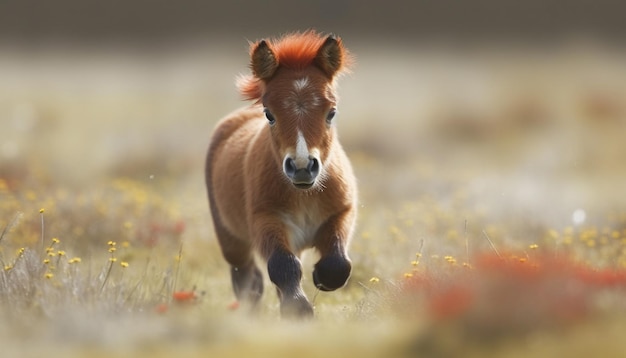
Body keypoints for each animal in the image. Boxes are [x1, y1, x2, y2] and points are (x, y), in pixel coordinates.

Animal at [206, 29, 356, 318]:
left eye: (331, 112)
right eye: (270, 114)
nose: (302, 166)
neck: (305, 194)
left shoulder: (341, 213)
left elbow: (337, 263)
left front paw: (320, 278)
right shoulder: (266, 220)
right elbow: (283, 266)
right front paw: (298, 311)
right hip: (232, 241)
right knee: (247, 280)